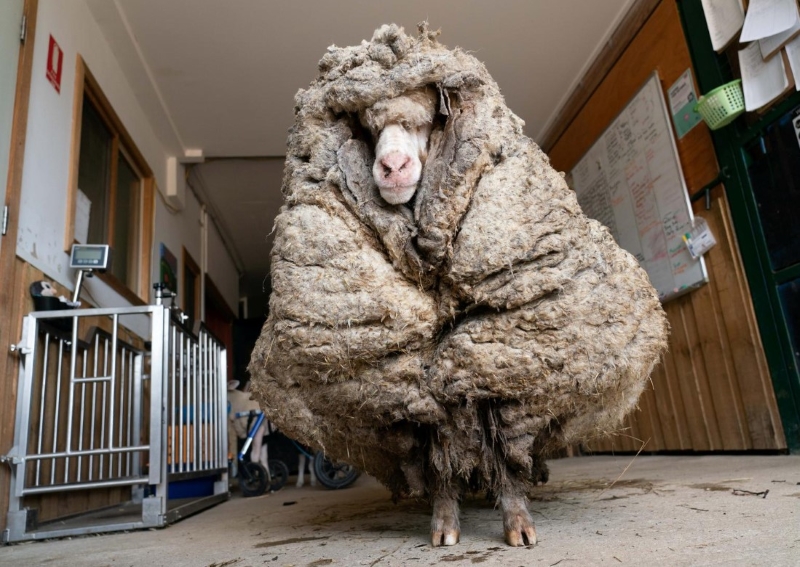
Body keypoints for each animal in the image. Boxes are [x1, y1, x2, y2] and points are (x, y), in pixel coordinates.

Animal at [249, 23, 668, 548]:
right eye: (366, 126)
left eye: (428, 119)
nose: (391, 168)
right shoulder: (415, 372)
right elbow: (437, 444)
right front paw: (445, 523)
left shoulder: (493, 348)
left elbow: (497, 430)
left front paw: (517, 520)